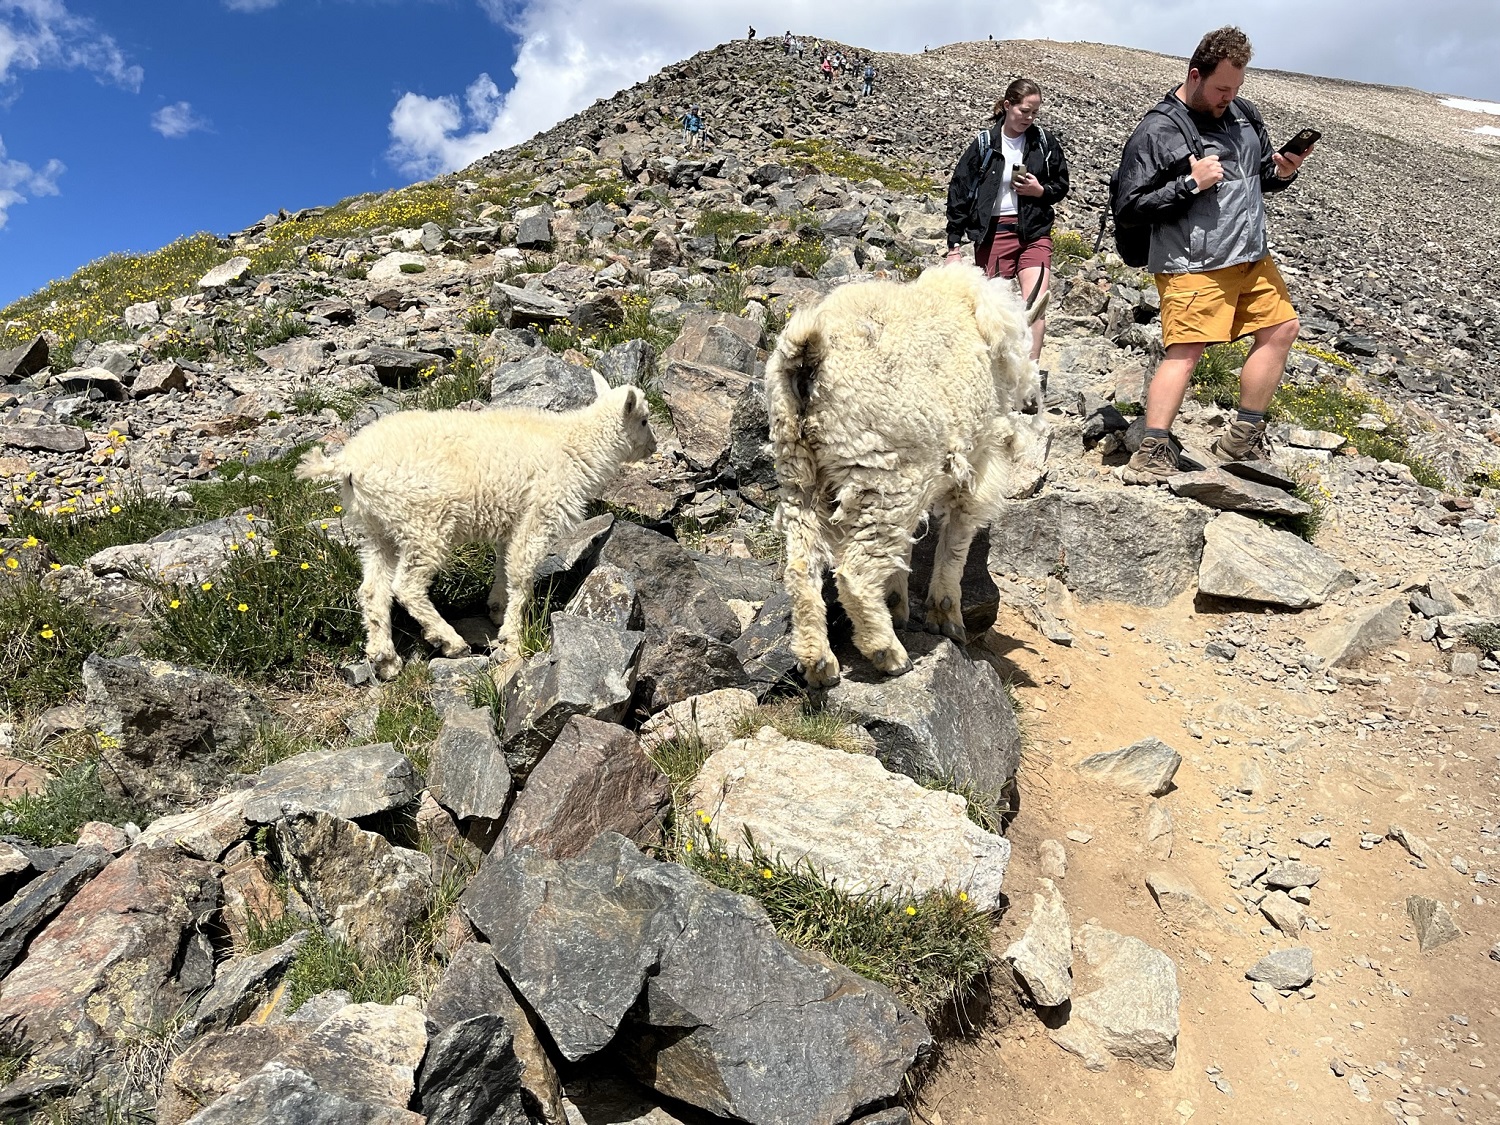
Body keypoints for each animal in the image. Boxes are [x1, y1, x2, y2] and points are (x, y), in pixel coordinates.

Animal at [298, 375, 657, 684]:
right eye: (643, 420)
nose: (653, 448)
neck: (576, 446)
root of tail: (349, 463)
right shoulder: (540, 512)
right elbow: (521, 573)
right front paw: (513, 637)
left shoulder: (511, 520)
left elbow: (504, 565)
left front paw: (497, 609)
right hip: (424, 522)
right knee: (407, 587)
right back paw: (449, 642)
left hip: (377, 528)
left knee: (373, 590)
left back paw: (385, 660)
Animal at [768, 264, 1050, 687]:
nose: (1033, 403)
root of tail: (806, 359)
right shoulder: (977, 464)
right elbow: (956, 541)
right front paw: (946, 618)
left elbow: (905, 548)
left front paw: (898, 605)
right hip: (882, 473)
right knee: (854, 572)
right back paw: (888, 654)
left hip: (800, 473)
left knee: (802, 566)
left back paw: (819, 663)